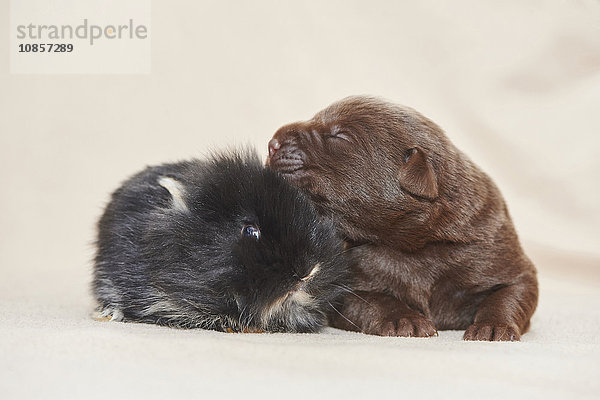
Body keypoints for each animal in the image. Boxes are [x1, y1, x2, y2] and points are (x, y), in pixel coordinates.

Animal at [268, 97, 540, 340]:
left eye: (340, 135)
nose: (273, 143)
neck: (413, 240)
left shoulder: (499, 254)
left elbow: (508, 294)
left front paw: (493, 327)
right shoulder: (348, 284)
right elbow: (375, 300)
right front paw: (405, 320)